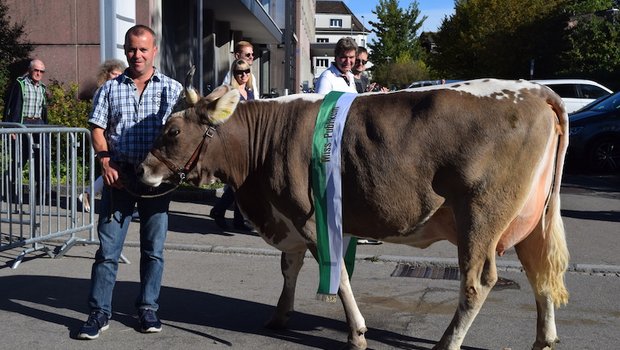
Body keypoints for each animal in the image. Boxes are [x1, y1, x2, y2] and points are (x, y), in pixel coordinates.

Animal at [138, 79, 568, 350]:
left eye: (173, 132)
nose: (141, 169)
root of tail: (535, 89)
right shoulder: (289, 218)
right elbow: (289, 268)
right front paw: (280, 316)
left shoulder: (309, 219)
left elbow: (338, 275)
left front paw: (357, 333)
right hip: (532, 217)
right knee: (540, 271)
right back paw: (544, 340)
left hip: (480, 215)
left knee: (477, 282)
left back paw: (448, 343)